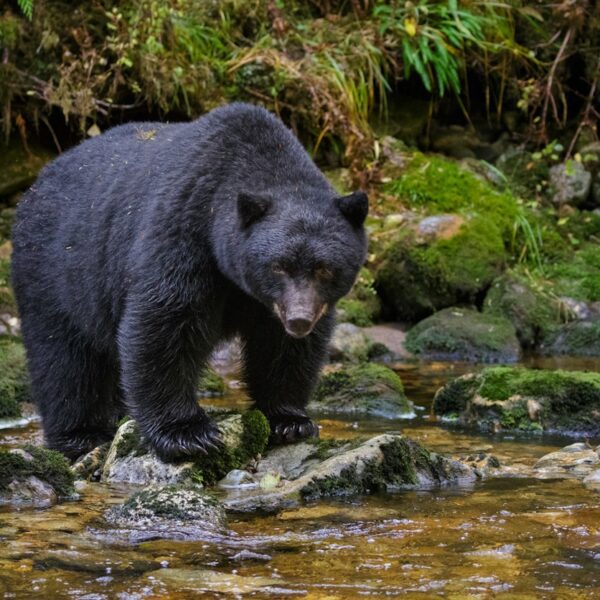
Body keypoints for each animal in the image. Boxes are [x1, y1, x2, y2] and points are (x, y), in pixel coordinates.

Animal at [11, 102, 368, 460]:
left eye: (324, 269)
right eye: (278, 266)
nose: (299, 320)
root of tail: (37, 183)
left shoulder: (273, 303)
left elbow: (282, 347)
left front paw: (289, 420)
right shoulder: (184, 231)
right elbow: (164, 323)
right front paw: (187, 433)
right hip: (56, 270)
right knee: (64, 358)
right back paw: (81, 434)